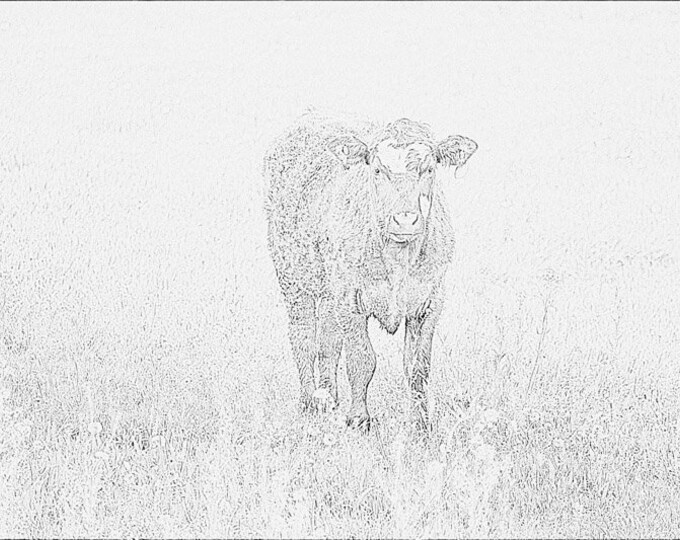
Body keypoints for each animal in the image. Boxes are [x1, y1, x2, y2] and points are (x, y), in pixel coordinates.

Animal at [262, 115, 476, 434]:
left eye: (429, 168)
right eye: (377, 169)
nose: (405, 219)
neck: (398, 261)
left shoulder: (429, 303)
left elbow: (417, 367)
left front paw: (420, 423)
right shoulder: (351, 300)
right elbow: (361, 360)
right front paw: (358, 418)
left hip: (330, 293)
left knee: (328, 343)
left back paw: (328, 397)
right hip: (294, 277)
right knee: (304, 339)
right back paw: (310, 402)